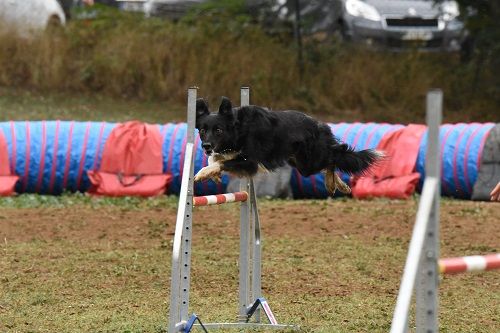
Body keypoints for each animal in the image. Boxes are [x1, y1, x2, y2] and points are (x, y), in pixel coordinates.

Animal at [193, 96, 380, 195]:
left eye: (218, 130)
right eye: (202, 130)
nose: (206, 146)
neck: (239, 128)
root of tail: (320, 125)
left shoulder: (249, 162)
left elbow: (220, 162)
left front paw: (202, 173)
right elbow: (215, 159)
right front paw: (213, 174)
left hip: (309, 162)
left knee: (333, 158)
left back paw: (331, 183)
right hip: (300, 164)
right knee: (331, 160)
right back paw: (339, 184)